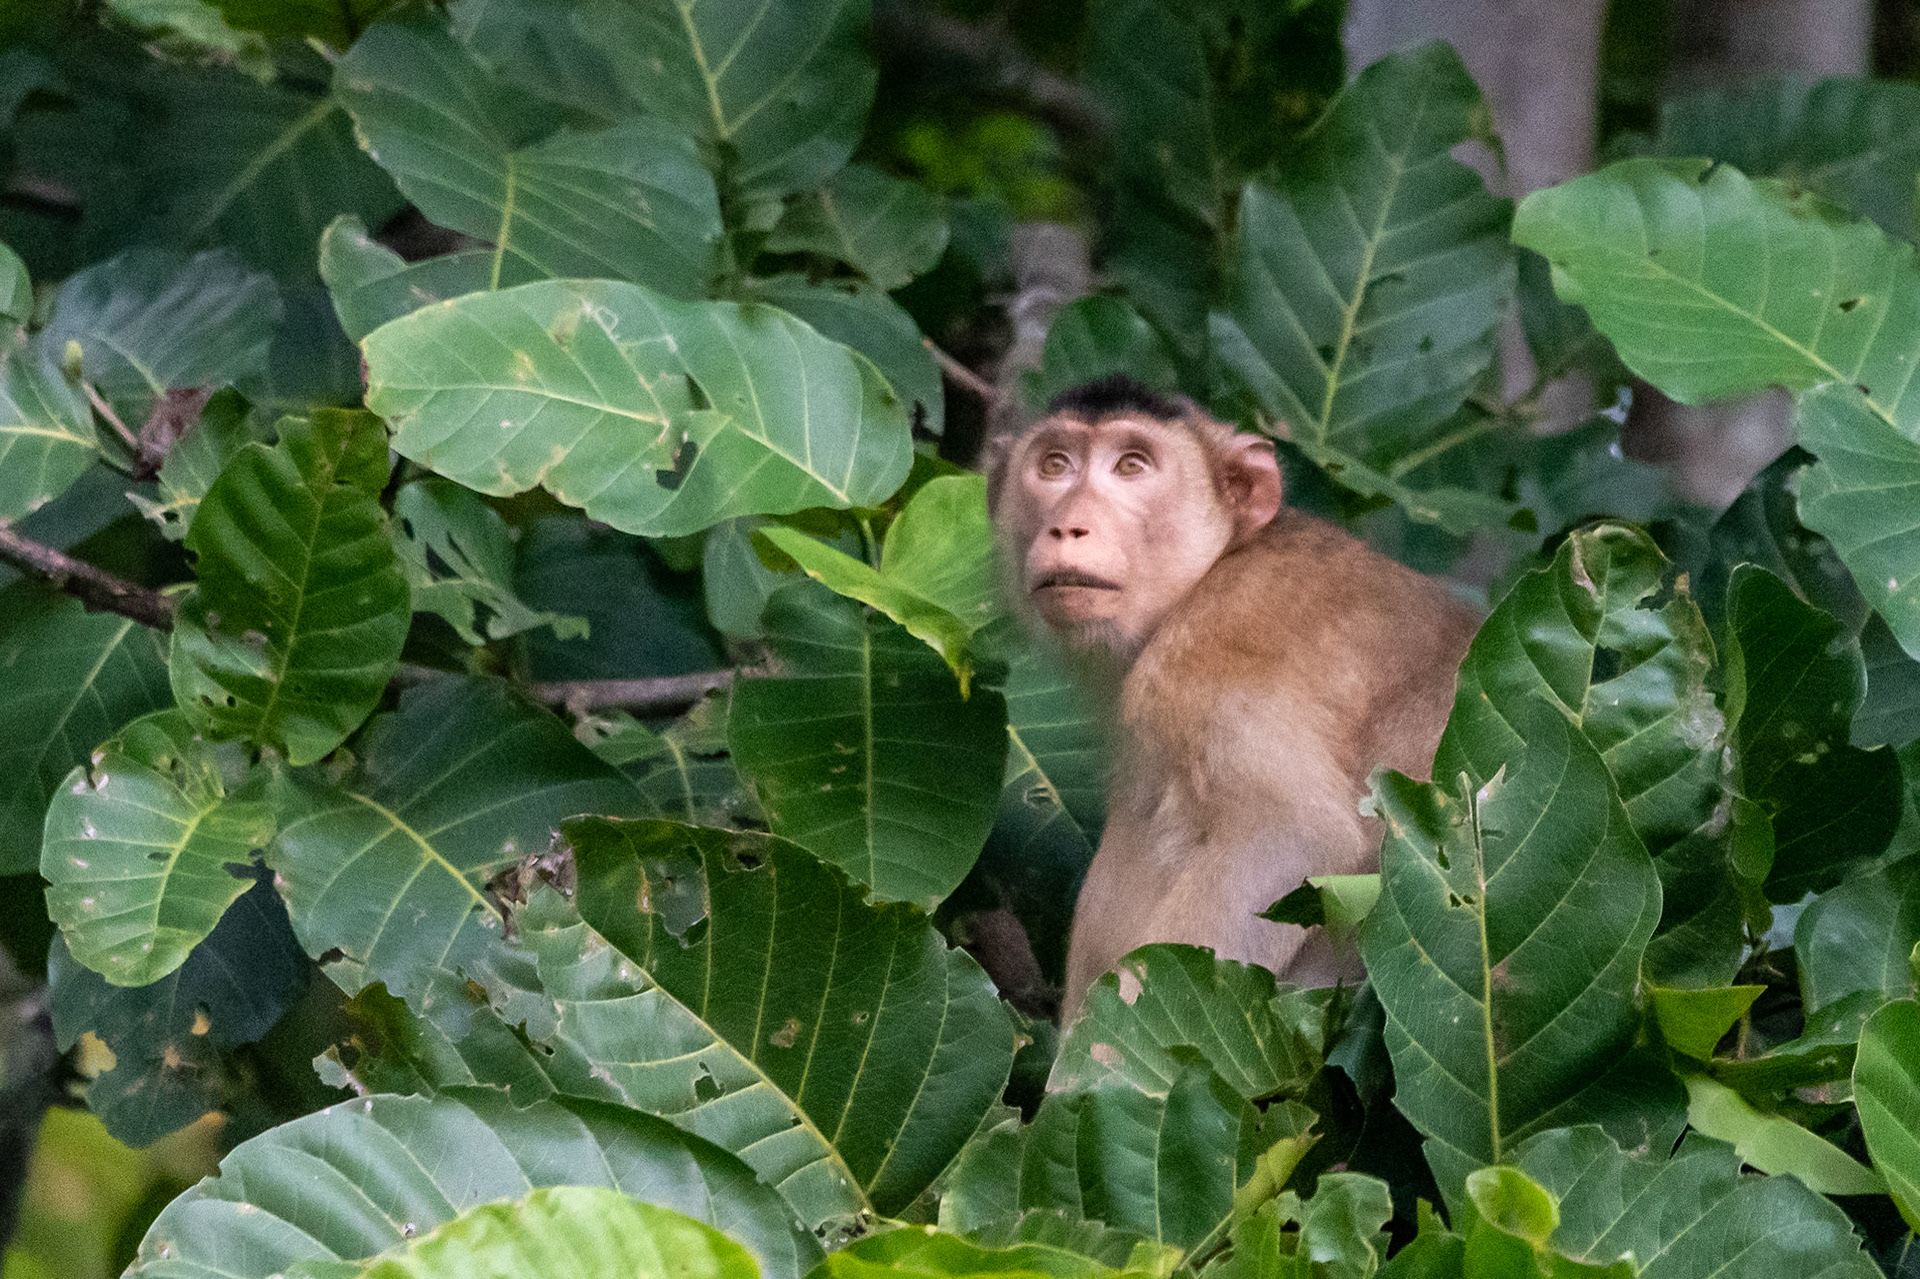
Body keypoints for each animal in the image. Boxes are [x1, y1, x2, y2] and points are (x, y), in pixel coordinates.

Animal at [988, 375, 1481, 1020]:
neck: (1217, 566)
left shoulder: (1200, 660)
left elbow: (1290, 837)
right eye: (1054, 465)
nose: (1069, 527)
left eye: (1131, 466)